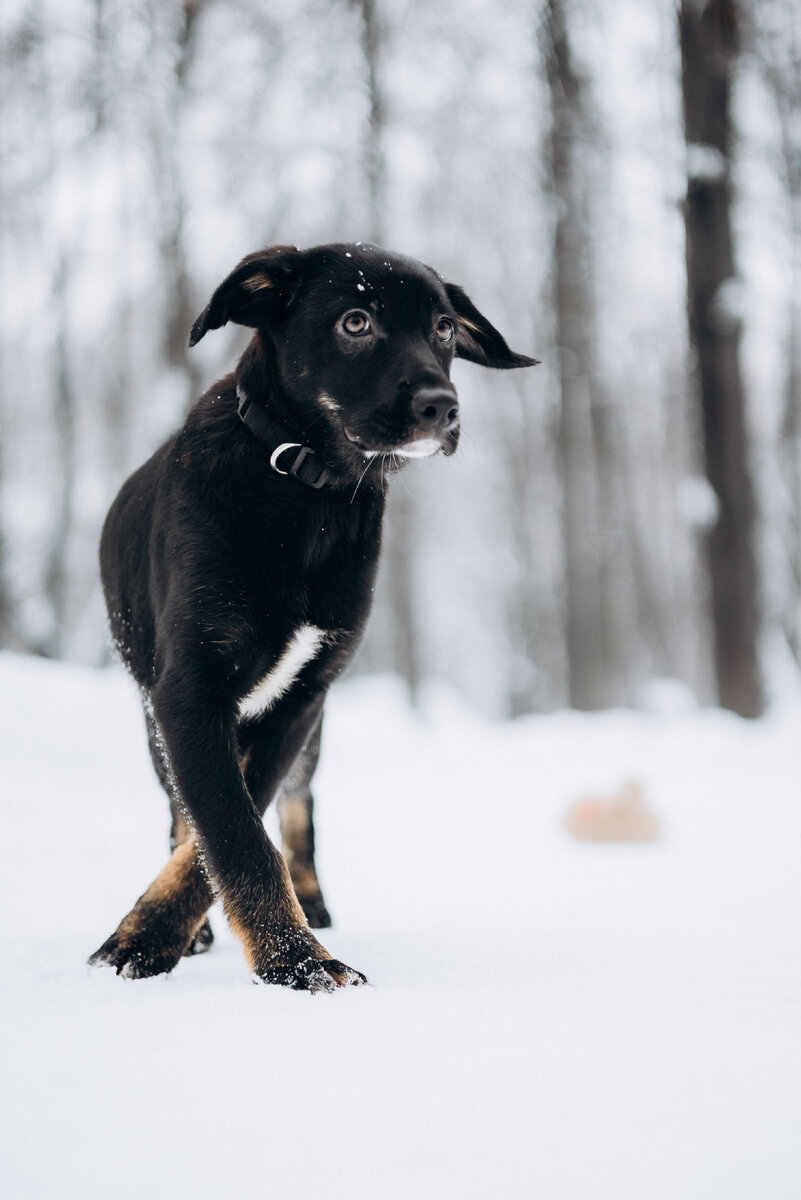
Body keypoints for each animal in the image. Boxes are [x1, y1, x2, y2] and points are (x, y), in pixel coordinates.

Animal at [89, 238, 537, 988]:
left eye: (444, 328)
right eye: (356, 322)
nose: (443, 407)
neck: (308, 490)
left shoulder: (302, 697)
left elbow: (248, 815)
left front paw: (268, 946)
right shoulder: (188, 692)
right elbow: (229, 830)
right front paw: (283, 962)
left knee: (296, 810)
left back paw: (312, 900)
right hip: (155, 715)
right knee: (183, 813)